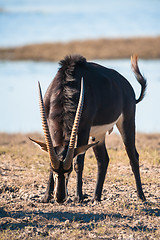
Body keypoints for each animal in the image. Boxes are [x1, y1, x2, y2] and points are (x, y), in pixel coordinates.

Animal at [29, 54, 147, 202]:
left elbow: (79, 162)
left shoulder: (84, 129)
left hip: (126, 123)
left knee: (133, 156)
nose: (60, 198)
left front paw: (78, 197)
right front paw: (45, 197)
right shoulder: (51, 130)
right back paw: (96, 197)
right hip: (98, 135)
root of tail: (127, 86)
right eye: (55, 169)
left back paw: (141, 196)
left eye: (69, 170)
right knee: (103, 160)